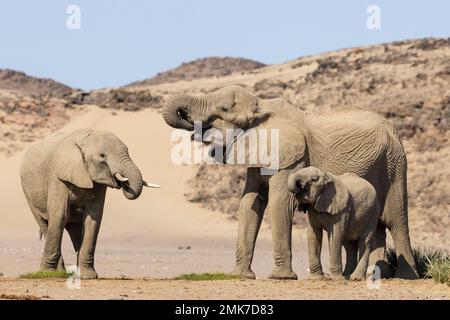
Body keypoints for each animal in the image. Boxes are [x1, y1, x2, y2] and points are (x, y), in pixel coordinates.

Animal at [19, 129, 160, 278]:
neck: (85, 140)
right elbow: (60, 215)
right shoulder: (57, 177)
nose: (124, 183)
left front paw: (88, 276)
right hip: (28, 193)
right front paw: (46, 273)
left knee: (75, 230)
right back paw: (58, 273)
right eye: (102, 156)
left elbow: (93, 219)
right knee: (45, 224)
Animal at [162, 85, 418, 280]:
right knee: (379, 226)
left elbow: (279, 203)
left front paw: (281, 277)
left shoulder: (292, 157)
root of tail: (392, 128)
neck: (263, 107)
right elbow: (250, 203)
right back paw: (372, 275)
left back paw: (405, 277)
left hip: (394, 166)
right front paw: (241, 276)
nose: (192, 127)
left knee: (396, 220)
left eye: (223, 109)